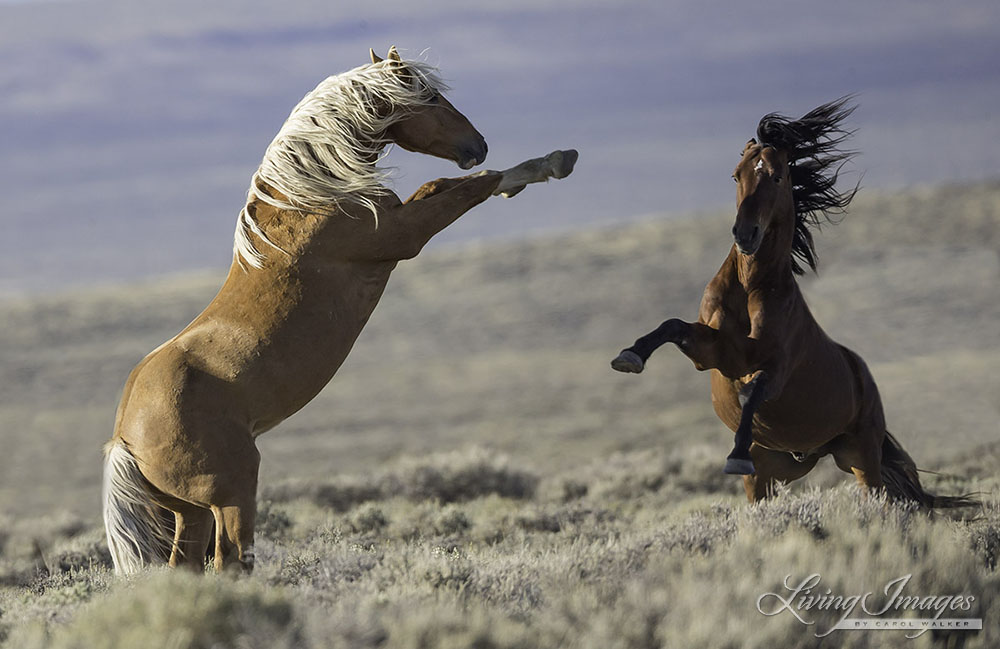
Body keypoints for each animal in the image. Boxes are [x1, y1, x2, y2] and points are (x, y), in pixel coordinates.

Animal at [102, 49, 580, 572]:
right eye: (431, 97)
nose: (479, 145)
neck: (308, 197)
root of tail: (126, 439)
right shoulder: (405, 236)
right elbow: (472, 187)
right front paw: (553, 163)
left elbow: (444, 183)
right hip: (231, 494)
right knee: (231, 561)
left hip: (190, 513)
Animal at [612, 98, 972, 508]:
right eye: (736, 176)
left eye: (778, 177)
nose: (745, 235)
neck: (751, 287)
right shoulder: (714, 353)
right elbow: (672, 326)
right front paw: (629, 356)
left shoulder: (772, 369)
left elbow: (752, 391)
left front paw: (736, 454)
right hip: (774, 473)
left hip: (862, 459)